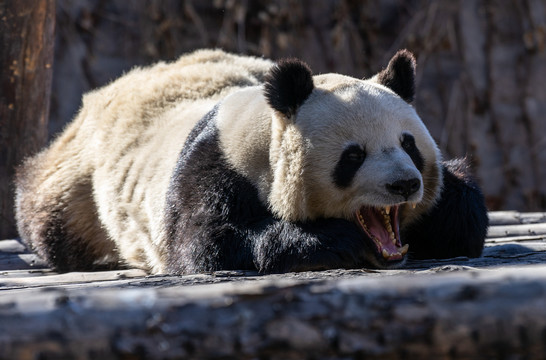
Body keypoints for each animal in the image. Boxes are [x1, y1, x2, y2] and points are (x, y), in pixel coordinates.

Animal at [14, 47, 486, 272]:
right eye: (353, 156)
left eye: (409, 145)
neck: (268, 126)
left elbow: (463, 215)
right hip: (77, 181)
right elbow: (207, 244)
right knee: (49, 215)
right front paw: (338, 242)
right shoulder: (214, 167)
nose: (404, 185)